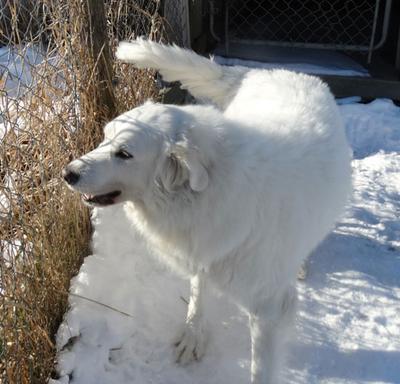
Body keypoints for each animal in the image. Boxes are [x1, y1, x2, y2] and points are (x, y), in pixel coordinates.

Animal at [61, 39, 350, 384]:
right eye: (104, 139)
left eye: (124, 154)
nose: (67, 173)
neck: (203, 194)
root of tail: (276, 71)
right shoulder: (203, 251)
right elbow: (198, 294)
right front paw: (193, 335)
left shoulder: (269, 309)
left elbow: (260, 368)